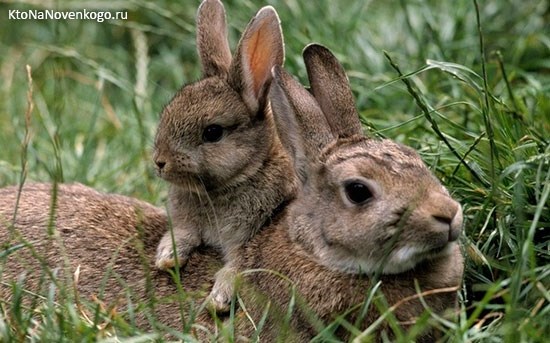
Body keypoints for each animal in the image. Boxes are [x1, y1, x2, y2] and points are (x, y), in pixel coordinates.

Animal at [151, 0, 298, 312]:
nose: (160, 162)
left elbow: (238, 266)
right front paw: (167, 257)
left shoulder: (250, 236)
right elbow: (183, 232)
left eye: (213, 132)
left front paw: (218, 299)